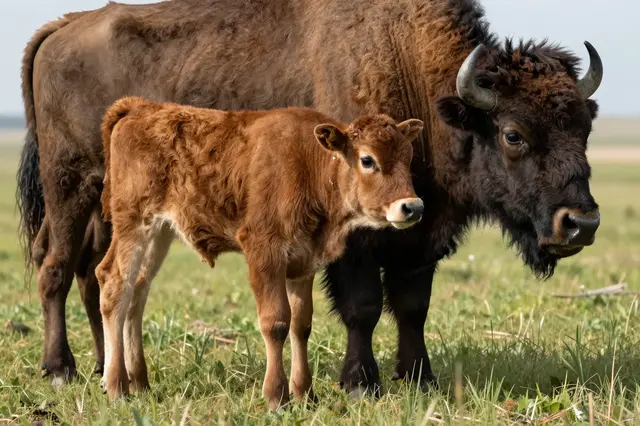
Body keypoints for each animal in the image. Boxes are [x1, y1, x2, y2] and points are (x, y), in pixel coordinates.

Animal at [95, 96, 425, 407]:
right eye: (367, 160)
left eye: (408, 157)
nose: (412, 206)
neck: (309, 164)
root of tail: (140, 107)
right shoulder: (264, 253)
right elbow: (276, 322)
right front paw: (277, 396)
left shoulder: (304, 261)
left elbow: (301, 325)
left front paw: (305, 394)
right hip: (133, 224)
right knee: (114, 284)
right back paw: (116, 386)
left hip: (160, 233)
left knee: (137, 291)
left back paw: (139, 382)